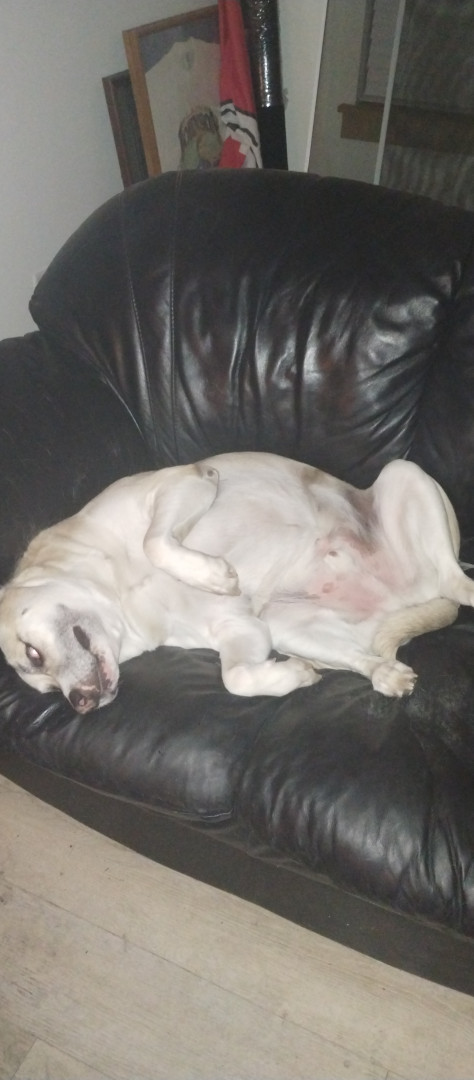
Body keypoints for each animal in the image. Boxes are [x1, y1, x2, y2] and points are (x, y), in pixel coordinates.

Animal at [0, 451, 472, 714]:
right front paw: (294, 675)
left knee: (455, 578)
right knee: (363, 655)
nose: (78, 705)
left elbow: (154, 541)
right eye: (46, 689)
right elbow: (237, 678)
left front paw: (213, 575)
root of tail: (410, 598)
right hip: (287, 625)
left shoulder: (185, 482)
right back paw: (383, 673)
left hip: (403, 473)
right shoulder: (241, 628)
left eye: (32, 652)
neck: (122, 597)